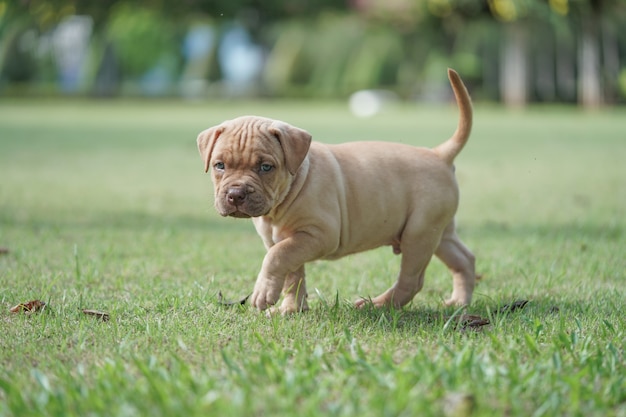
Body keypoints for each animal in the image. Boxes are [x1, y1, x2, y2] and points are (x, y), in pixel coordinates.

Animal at [197, 68, 476, 314]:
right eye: (219, 165)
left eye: (266, 167)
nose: (235, 194)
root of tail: (439, 154)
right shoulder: (286, 239)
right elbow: (292, 274)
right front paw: (291, 309)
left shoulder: (319, 234)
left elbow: (277, 257)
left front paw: (263, 293)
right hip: (438, 230)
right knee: (464, 259)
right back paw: (459, 301)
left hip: (418, 232)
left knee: (413, 279)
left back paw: (379, 305)